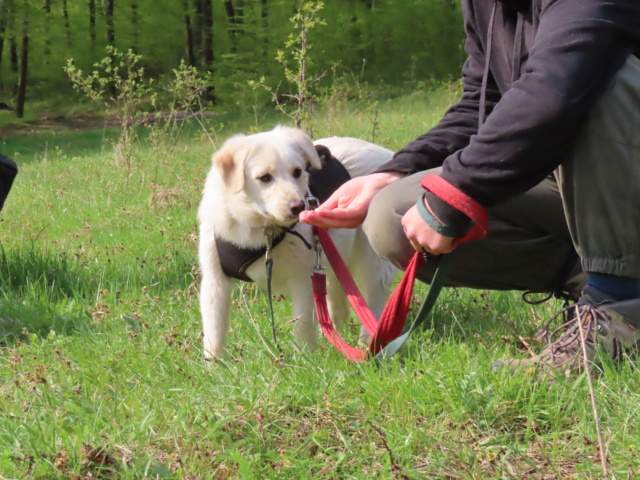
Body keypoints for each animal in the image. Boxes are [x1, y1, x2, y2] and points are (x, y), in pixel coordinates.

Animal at [196, 125, 396, 358]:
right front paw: (215, 365)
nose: (298, 207)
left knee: (373, 302)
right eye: (264, 177)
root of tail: (386, 153)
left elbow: (302, 326)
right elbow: (214, 334)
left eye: (298, 172)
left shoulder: (303, 280)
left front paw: (304, 360)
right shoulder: (214, 282)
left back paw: (367, 345)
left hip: (372, 262)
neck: (262, 230)